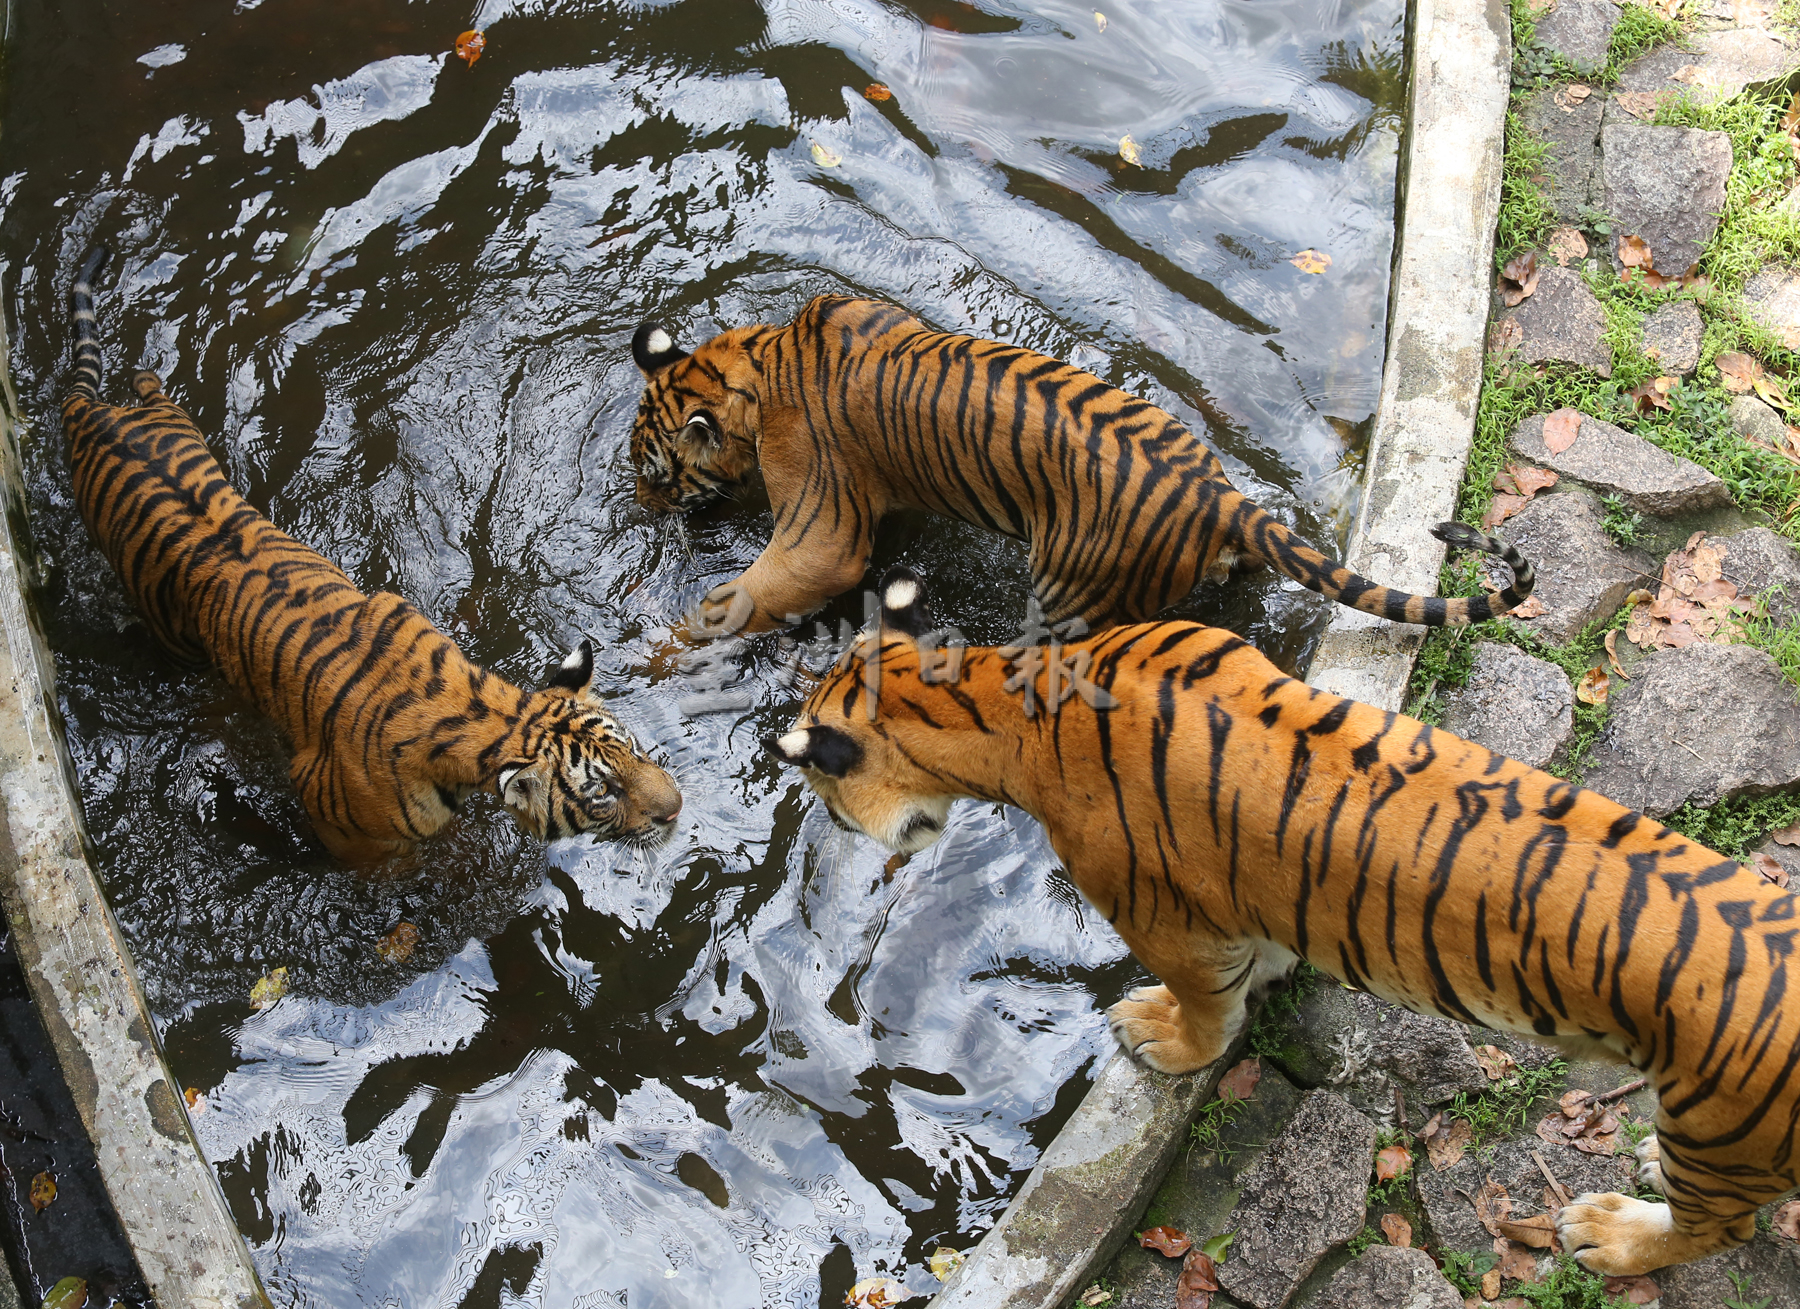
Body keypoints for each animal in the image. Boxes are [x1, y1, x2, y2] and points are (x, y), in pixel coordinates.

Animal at [61, 248, 680, 871]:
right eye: (602, 791)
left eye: (631, 748)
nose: (675, 809)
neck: (491, 713)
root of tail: (93, 413)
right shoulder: (346, 829)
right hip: (173, 637)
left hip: (166, 409)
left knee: (144, 377)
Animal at [633, 298, 1533, 644]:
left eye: (656, 471)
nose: (638, 505)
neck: (751, 363)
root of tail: (1220, 497)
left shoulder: (821, 533)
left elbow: (743, 597)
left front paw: (660, 654)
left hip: (1065, 591)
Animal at [763, 565, 1800, 1281]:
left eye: (824, 782)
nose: (825, 820)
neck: (998, 702)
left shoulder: (1154, 912)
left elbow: (1203, 1004)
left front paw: (1162, 1037)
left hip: (1717, 1129)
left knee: (1722, 1225)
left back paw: (1609, 1235)